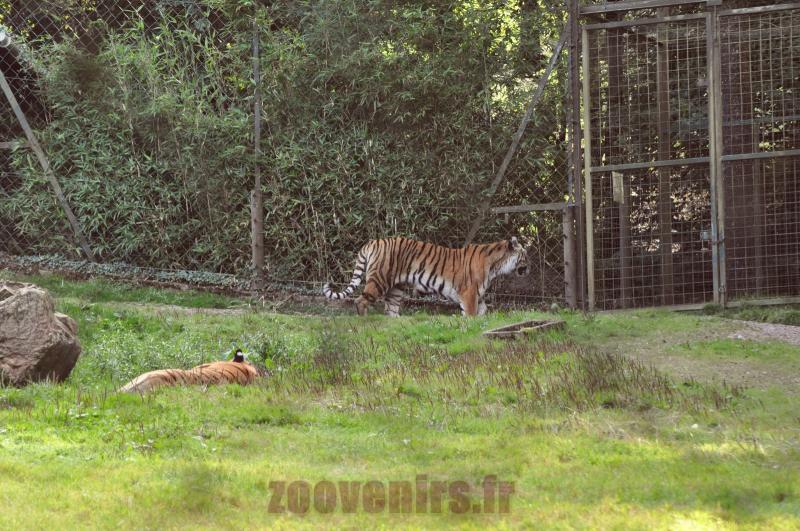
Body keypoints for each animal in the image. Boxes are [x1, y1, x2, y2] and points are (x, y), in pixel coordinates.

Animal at [323, 236, 529, 317]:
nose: (530, 268)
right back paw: (364, 319)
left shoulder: (478, 296)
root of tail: (373, 241)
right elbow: (471, 315)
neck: (496, 266)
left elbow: (482, 313)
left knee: (391, 310)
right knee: (360, 300)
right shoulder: (469, 293)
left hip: (396, 288)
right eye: (525, 255)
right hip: (379, 280)